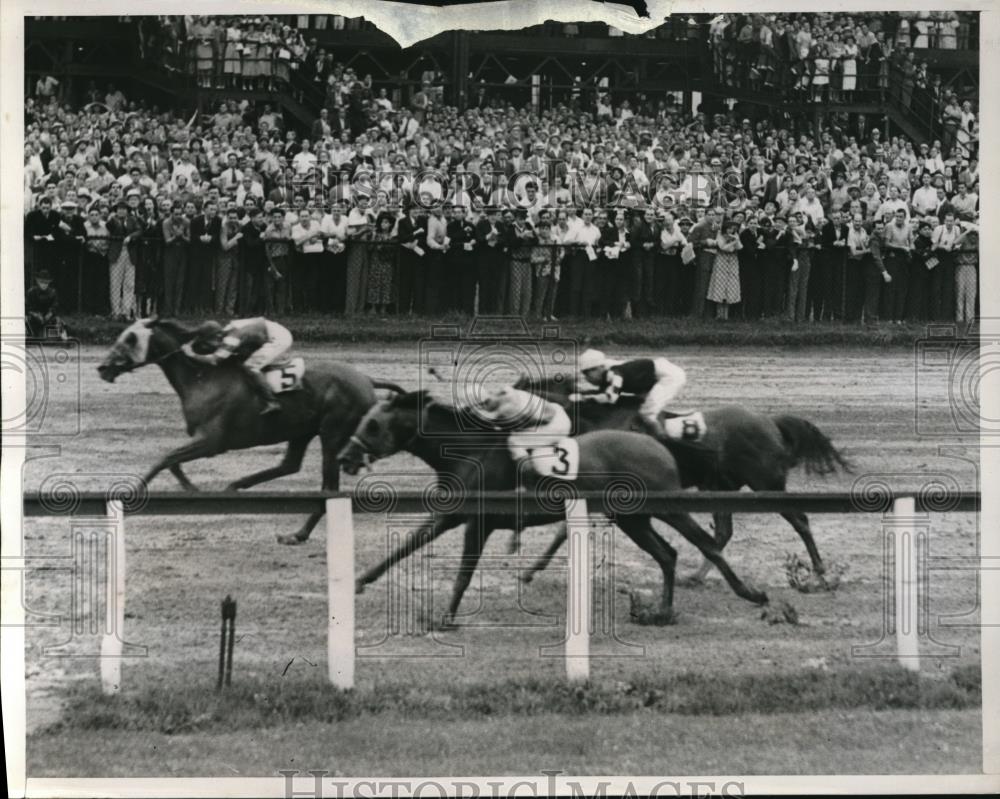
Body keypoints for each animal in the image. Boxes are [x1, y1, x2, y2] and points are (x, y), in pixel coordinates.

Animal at [96, 318, 402, 544]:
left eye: (129, 339)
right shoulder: (205, 441)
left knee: (328, 487)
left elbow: (164, 459)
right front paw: (191, 488)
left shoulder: (211, 442)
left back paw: (297, 533)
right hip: (302, 430)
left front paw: (135, 496)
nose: (102, 368)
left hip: (332, 433)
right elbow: (171, 461)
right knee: (289, 465)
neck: (201, 377)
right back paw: (239, 488)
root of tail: (366, 379)